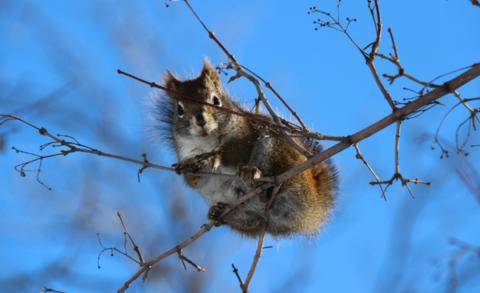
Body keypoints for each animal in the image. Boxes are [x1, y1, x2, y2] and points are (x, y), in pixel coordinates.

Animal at [158, 60, 338, 236]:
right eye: (179, 109)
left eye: (216, 100)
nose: (200, 119)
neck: (207, 141)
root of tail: (312, 210)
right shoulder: (185, 151)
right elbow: (193, 181)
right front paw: (189, 167)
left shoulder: (245, 137)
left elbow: (235, 153)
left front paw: (212, 157)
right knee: (251, 221)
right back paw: (218, 213)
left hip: (276, 150)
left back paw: (255, 176)